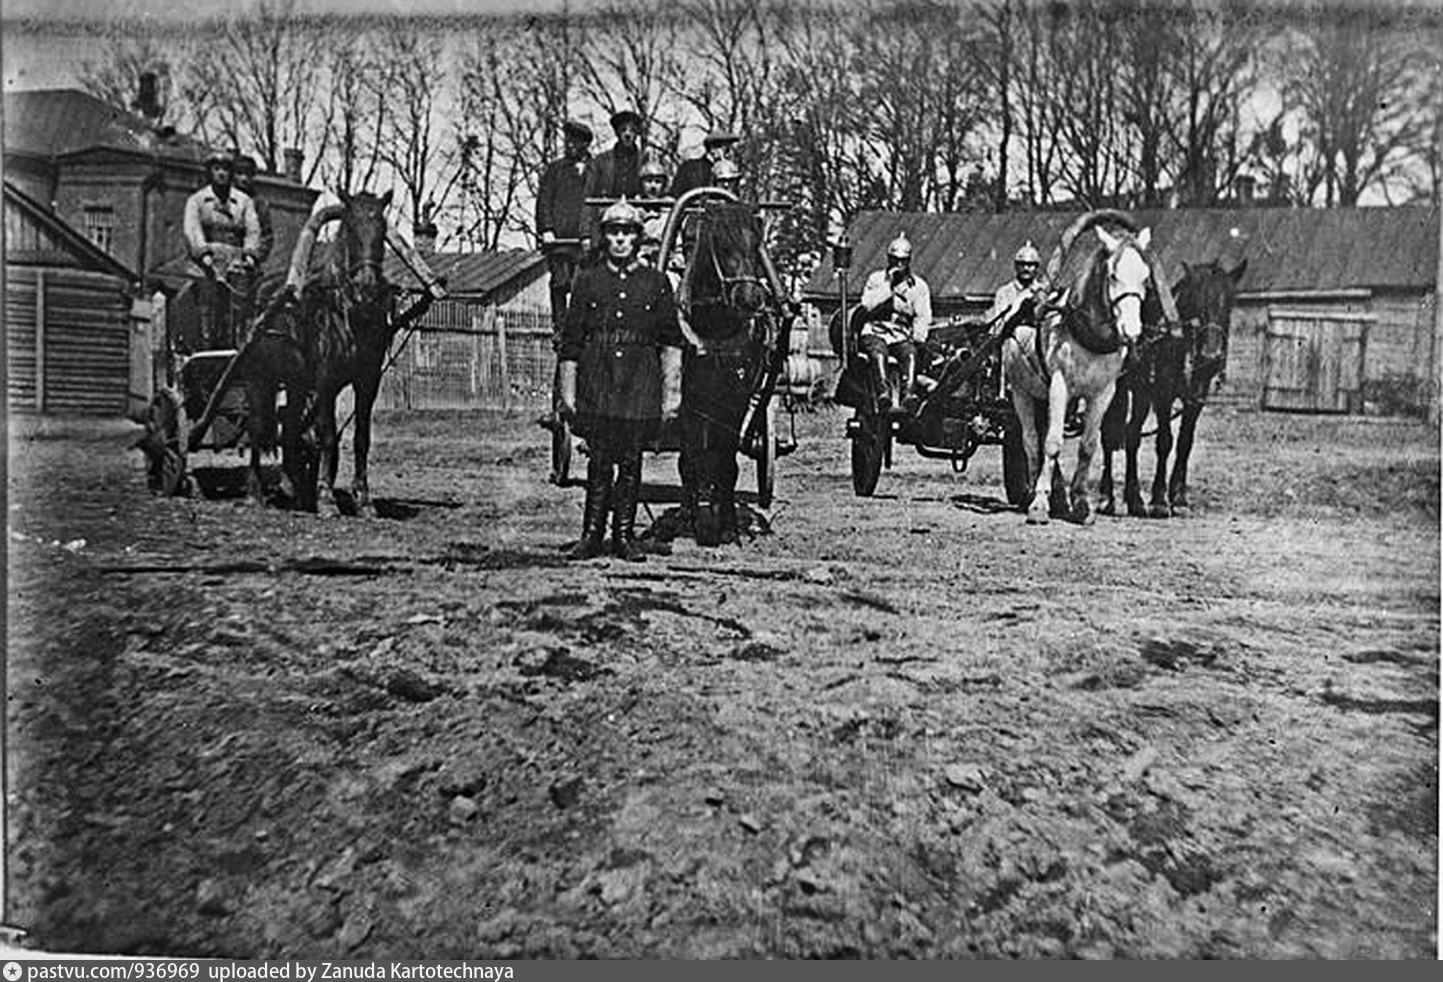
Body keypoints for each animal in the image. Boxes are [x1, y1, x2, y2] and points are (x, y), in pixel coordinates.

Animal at [678, 200, 790, 545]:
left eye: (757, 247)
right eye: (722, 246)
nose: (751, 298)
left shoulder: (735, 398)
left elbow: (725, 460)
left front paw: (725, 523)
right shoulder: (690, 401)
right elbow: (692, 457)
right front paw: (696, 517)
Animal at [1004, 209, 1171, 524]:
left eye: (1145, 278)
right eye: (1113, 275)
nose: (1132, 331)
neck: (1086, 332)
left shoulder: (1103, 393)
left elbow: (1088, 445)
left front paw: (1080, 502)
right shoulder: (1059, 386)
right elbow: (1052, 443)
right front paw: (1039, 503)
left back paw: (1059, 496)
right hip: (1023, 392)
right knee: (1031, 440)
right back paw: (1033, 492)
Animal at [1096, 261, 1246, 522]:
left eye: (1228, 304)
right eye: (1196, 302)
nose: (1211, 357)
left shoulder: (1196, 399)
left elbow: (1185, 443)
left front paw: (1178, 497)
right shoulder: (1163, 396)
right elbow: (1165, 442)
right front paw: (1158, 500)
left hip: (1142, 394)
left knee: (1132, 434)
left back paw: (1134, 500)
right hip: (1119, 390)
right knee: (1109, 432)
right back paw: (1107, 498)